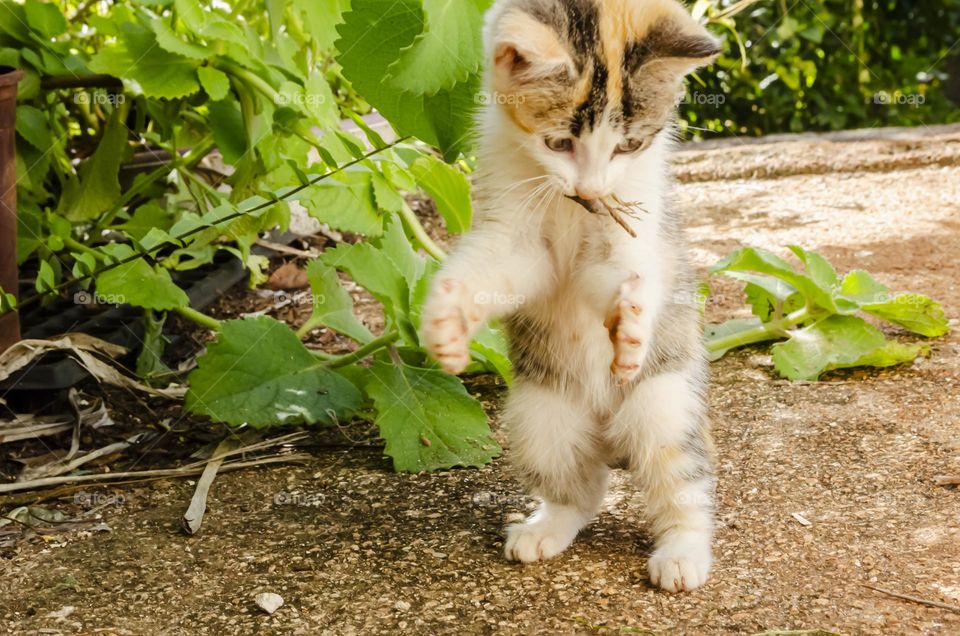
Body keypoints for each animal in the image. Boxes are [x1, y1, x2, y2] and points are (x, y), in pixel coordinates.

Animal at [422, 0, 720, 592]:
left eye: (629, 145)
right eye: (559, 142)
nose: (590, 192)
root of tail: (611, 436)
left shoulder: (632, 223)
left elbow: (619, 270)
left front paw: (630, 322)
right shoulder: (514, 227)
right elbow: (506, 266)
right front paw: (448, 317)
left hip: (665, 403)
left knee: (680, 476)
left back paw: (683, 552)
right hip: (541, 414)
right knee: (581, 488)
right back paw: (548, 526)